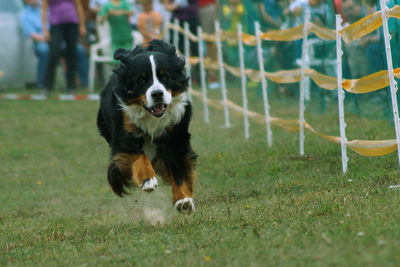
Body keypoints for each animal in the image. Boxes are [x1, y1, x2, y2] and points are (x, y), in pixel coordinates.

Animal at [97, 39, 197, 215]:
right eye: (142, 79)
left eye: (165, 76)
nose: (157, 94)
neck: (151, 115)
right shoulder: (124, 131)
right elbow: (137, 155)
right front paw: (147, 179)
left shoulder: (175, 134)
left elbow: (178, 166)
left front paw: (183, 199)